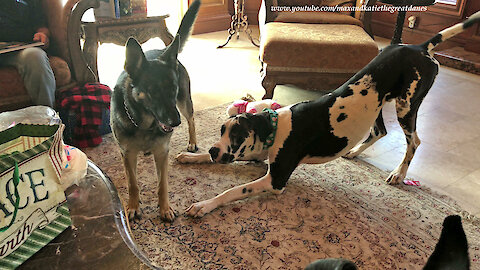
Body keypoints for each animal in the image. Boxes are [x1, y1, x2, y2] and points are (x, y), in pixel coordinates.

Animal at [178, 13, 480, 219]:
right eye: (221, 131)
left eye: (238, 135)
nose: (215, 150)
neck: (276, 127)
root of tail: (420, 47)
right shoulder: (256, 155)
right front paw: (193, 156)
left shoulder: (274, 181)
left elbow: (230, 192)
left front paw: (203, 205)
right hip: (380, 103)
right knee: (380, 131)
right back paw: (354, 152)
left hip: (407, 107)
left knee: (414, 142)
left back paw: (398, 173)